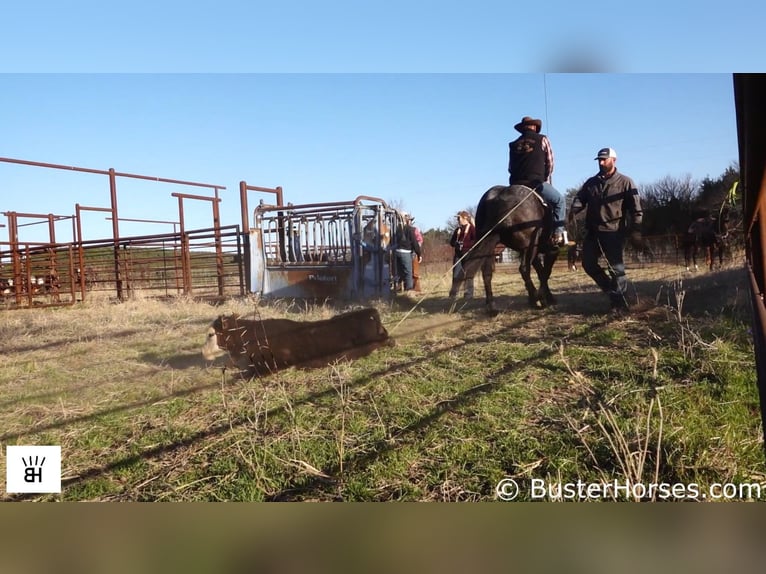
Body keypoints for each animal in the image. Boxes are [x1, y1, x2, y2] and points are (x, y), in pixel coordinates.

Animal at [452, 184, 560, 318]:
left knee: (487, 273)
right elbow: (545, 271)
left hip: (491, 245)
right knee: (524, 269)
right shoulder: (542, 249)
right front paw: (544, 298)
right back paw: (537, 299)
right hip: (527, 246)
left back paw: (492, 307)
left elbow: (541, 271)